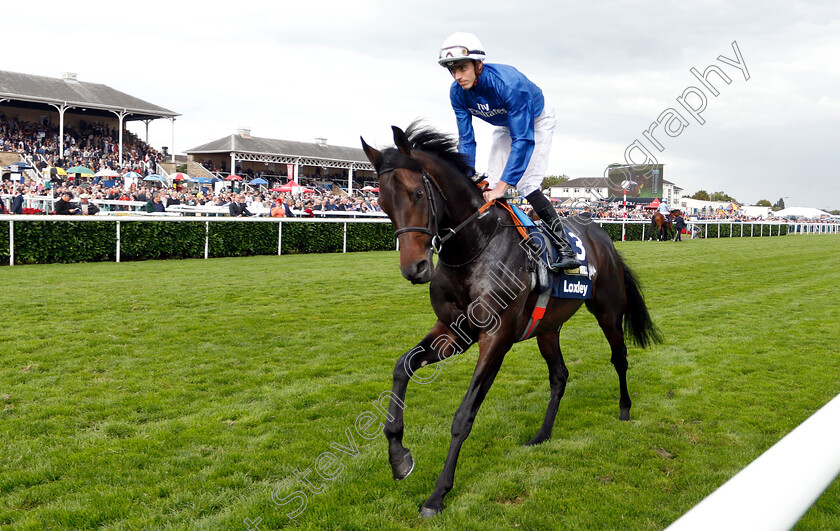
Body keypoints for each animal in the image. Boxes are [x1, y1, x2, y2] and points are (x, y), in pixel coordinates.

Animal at [360, 123, 664, 516]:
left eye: (416, 193)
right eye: (382, 203)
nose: (415, 268)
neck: (475, 247)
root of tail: (601, 234)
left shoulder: (496, 338)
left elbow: (463, 416)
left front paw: (438, 494)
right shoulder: (453, 333)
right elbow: (402, 366)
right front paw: (399, 457)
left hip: (608, 312)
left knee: (619, 357)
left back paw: (625, 409)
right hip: (547, 327)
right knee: (559, 375)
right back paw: (542, 434)